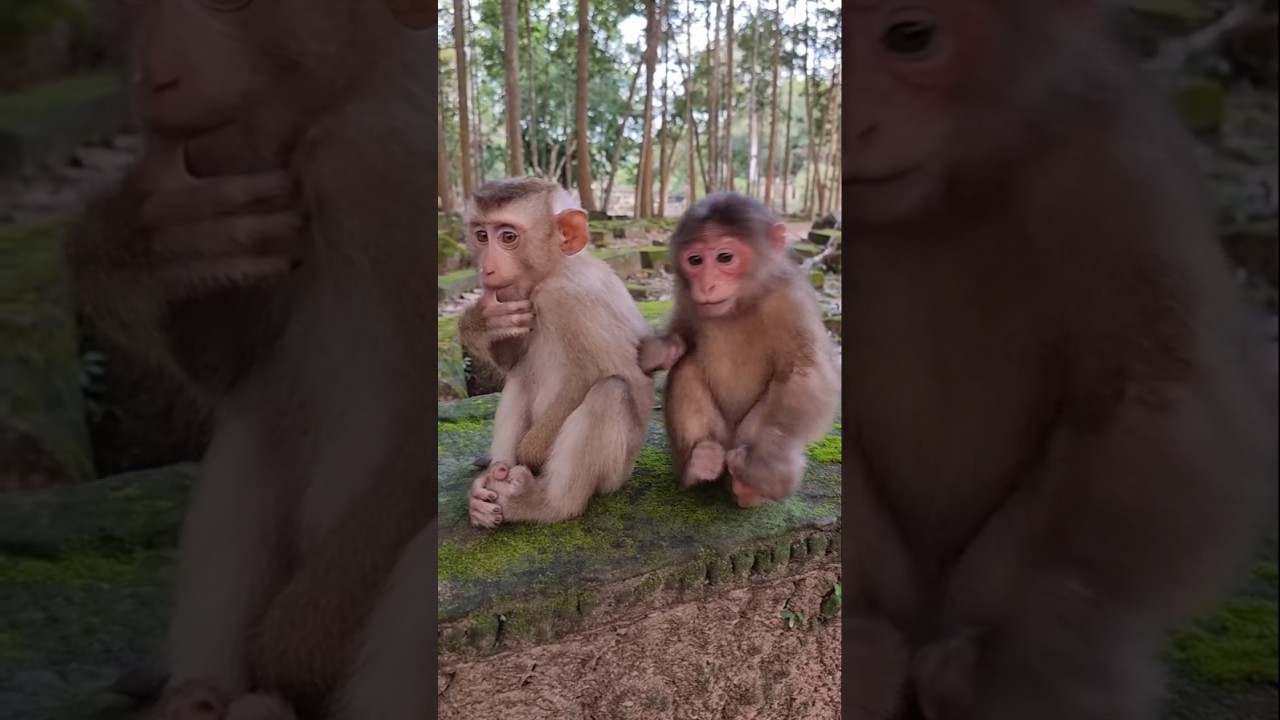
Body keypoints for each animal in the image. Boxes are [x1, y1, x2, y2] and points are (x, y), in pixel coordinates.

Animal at [65, 1, 437, 719]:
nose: (155, 79)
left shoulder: (379, 160)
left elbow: (424, 434)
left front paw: (293, 653)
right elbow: (233, 363)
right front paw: (133, 243)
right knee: (257, 415)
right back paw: (200, 699)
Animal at [460, 177, 655, 528]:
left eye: (508, 237)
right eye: (482, 235)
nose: (487, 269)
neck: (556, 269)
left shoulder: (565, 298)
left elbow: (598, 374)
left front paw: (531, 454)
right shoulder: (514, 301)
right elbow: (512, 361)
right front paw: (479, 324)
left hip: (616, 472)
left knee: (610, 391)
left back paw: (543, 503)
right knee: (521, 378)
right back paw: (485, 494)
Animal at [638, 192, 840, 509]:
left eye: (725, 257)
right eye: (695, 260)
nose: (707, 285)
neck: (741, 305)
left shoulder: (791, 297)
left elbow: (805, 371)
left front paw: (769, 464)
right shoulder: (685, 294)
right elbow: (684, 338)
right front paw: (664, 348)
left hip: (739, 444)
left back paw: (747, 488)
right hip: (719, 441)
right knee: (688, 365)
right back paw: (699, 466)